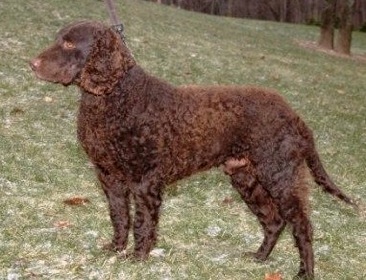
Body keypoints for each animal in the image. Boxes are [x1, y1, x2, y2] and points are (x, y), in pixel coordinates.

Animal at [30, 20, 356, 278]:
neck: (115, 98)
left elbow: (143, 223)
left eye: (69, 43)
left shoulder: (146, 181)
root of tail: (295, 116)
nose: (32, 63)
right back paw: (259, 258)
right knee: (274, 221)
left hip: (280, 175)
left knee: (301, 225)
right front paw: (115, 250)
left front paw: (137, 258)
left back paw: (305, 272)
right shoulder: (109, 177)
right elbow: (119, 217)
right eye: (58, 38)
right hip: (246, 177)